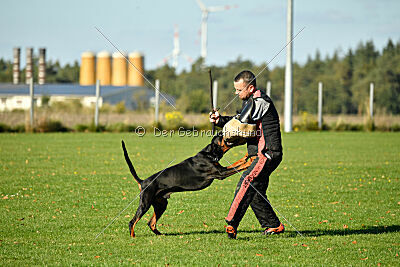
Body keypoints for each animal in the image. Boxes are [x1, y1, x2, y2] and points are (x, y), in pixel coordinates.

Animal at [120, 133, 256, 238]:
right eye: (222, 135)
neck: (209, 154)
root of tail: (143, 181)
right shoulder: (221, 173)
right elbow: (237, 166)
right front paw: (249, 161)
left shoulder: (221, 170)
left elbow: (237, 163)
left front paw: (246, 156)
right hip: (145, 203)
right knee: (132, 222)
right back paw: (133, 237)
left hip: (161, 204)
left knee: (151, 223)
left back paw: (160, 234)